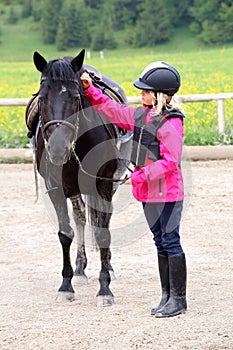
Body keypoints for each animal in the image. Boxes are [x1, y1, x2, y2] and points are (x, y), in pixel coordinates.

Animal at [29, 49, 131, 306]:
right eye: (41, 99)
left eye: (76, 98)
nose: (57, 150)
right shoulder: (55, 187)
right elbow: (66, 233)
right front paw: (66, 286)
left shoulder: (104, 183)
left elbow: (103, 233)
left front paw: (105, 289)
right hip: (73, 187)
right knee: (81, 216)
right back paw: (80, 269)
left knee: (101, 220)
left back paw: (108, 266)